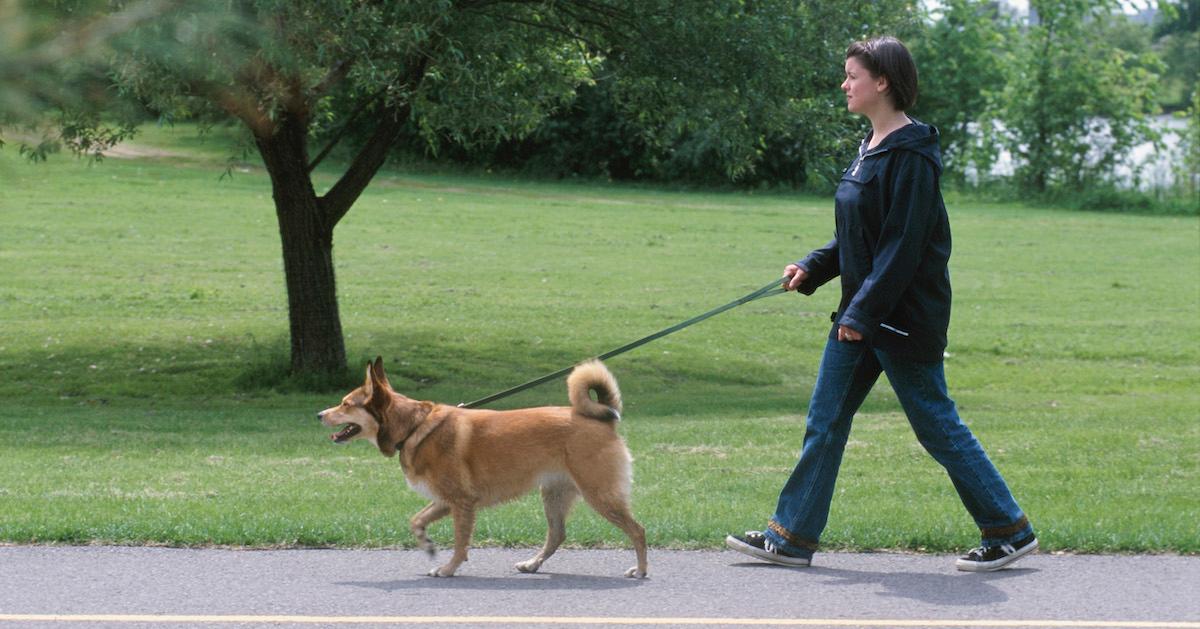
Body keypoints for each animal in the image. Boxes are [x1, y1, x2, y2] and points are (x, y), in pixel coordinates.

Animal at [314, 355, 643, 578]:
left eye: (346, 404)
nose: (319, 414)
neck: (414, 427)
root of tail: (602, 418)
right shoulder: (446, 500)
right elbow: (416, 521)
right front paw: (428, 545)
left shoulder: (462, 502)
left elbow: (461, 542)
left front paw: (448, 569)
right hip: (554, 494)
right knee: (557, 535)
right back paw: (533, 564)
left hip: (599, 493)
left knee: (638, 531)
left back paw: (641, 570)